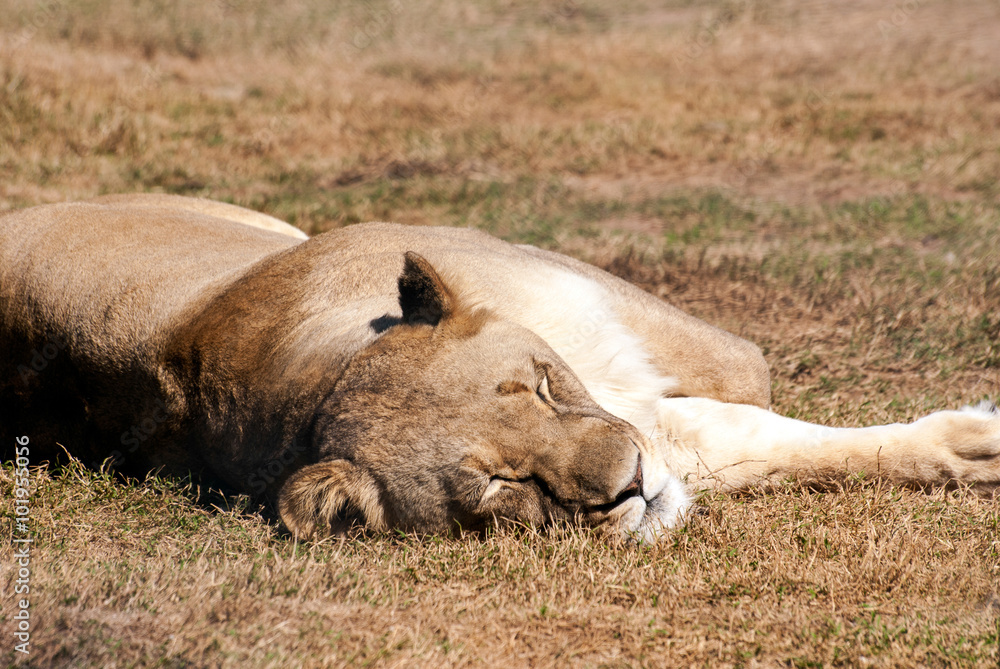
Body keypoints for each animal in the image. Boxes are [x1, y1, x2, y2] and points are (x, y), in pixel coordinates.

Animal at [1, 195, 997, 541]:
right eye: (500, 488)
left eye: (540, 385)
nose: (631, 487)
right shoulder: (654, 418)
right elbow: (762, 431)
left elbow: (755, 391)